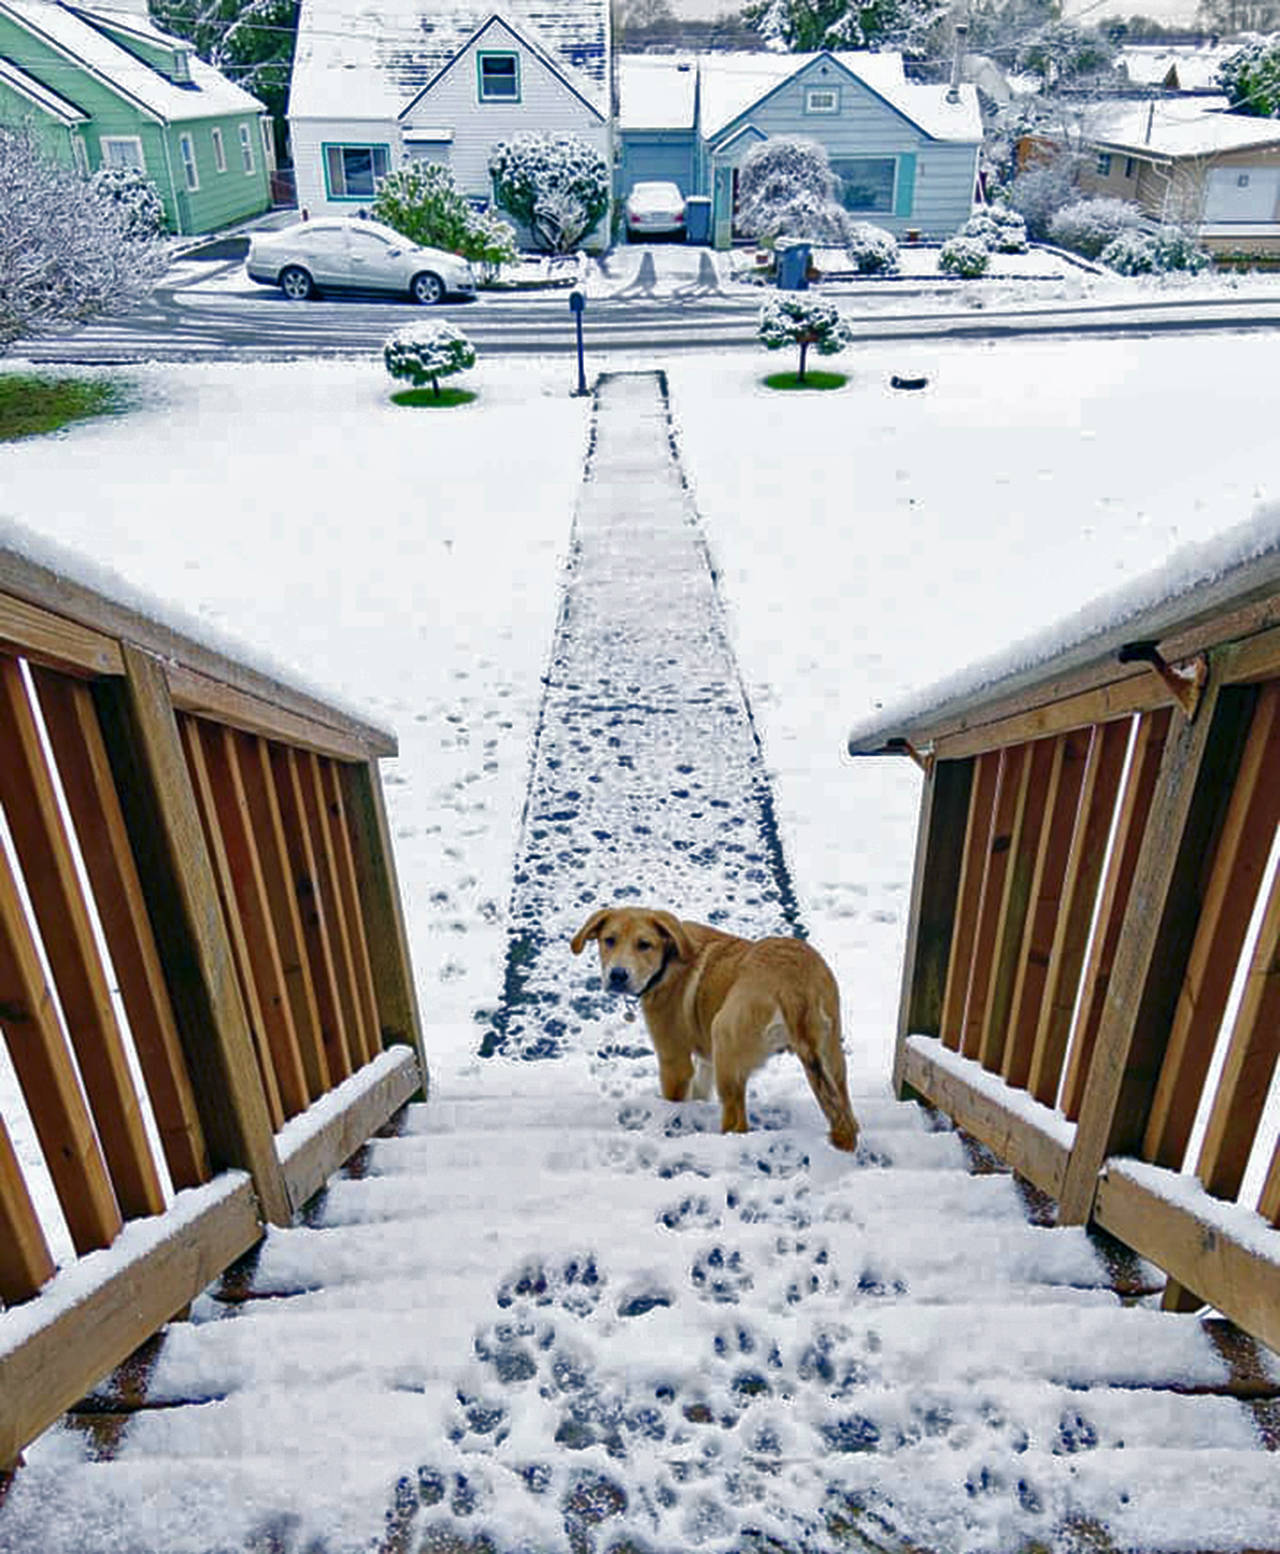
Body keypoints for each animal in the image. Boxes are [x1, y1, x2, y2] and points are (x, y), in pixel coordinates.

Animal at [571, 907, 857, 1149]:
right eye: (609, 940)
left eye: (644, 945)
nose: (618, 976)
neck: (669, 958)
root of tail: (794, 986)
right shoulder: (706, 1054)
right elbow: (700, 1088)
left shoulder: (674, 1060)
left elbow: (675, 1098)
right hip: (831, 1057)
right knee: (849, 1120)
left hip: (725, 1039)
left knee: (737, 1123)